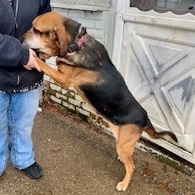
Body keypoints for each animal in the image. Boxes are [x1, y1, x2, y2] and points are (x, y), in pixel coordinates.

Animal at [22, 11, 177, 191]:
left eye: (36, 30)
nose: (20, 39)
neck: (77, 44)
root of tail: (146, 119)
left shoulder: (63, 78)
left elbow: (42, 63)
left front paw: (31, 57)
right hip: (121, 138)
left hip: (123, 144)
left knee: (131, 167)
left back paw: (124, 184)